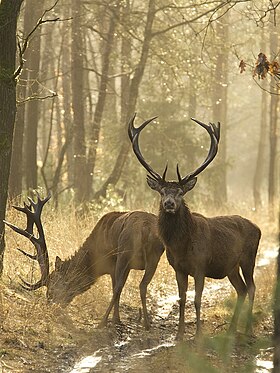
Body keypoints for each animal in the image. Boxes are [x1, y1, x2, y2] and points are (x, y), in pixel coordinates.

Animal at [4, 195, 164, 328]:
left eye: (52, 287)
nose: (49, 304)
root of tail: (145, 228)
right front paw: (118, 319)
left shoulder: (112, 265)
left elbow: (116, 288)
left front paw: (116, 319)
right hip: (155, 256)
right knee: (143, 285)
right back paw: (147, 323)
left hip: (124, 252)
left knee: (119, 287)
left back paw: (102, 322)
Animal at [128, 114, 262, 340]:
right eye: (162, 192)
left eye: (181, 193)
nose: (169, 204)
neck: (181, 246)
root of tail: (258, 228)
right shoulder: (178, 268)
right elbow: (182, 299)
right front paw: (179, 335)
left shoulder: (201, 265)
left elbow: (197, 300)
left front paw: (198, 334)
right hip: (231, 267)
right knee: (241, 289)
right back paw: (231, 330)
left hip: (248, 257)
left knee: (251, 287)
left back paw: (248, 331)